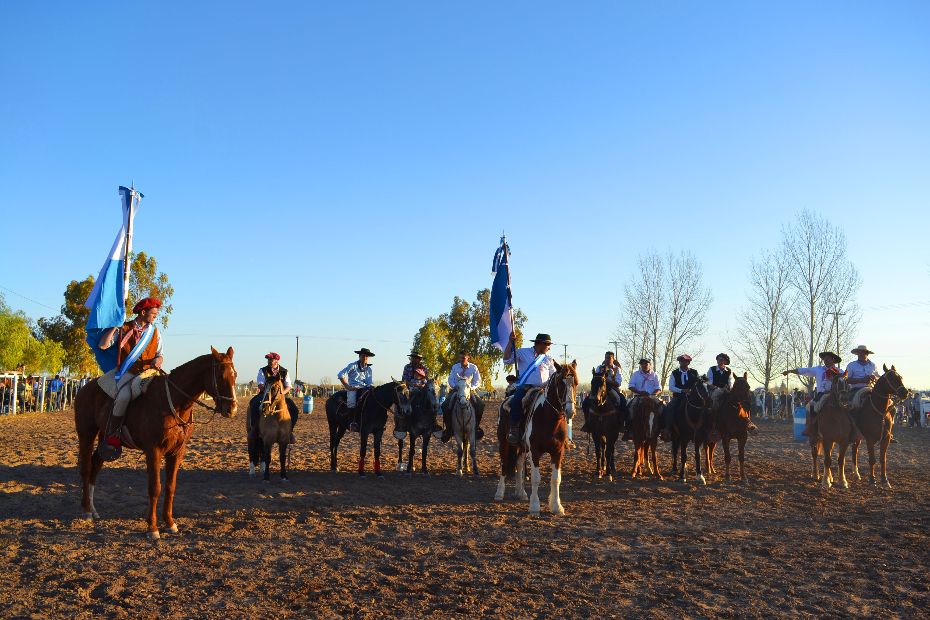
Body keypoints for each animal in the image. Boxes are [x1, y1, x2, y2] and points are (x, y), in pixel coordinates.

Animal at [74, 346, 237, 540]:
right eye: (220, 375)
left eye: (235, 375)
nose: (232, 409)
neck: (174, 401)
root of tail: (84, 389)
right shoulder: (153, 450)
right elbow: (155, 487)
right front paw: (152, 527)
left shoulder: (177, 452)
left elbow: (170, 486)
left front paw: (169, 522)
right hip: (87, 435)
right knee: (86, 468)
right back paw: (86, 510)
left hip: (104, 440)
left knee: (96, 465)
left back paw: (93, 509)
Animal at [490, 360, 576, 516]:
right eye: (561, 383)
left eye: (576, 383)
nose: (570, 411)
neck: (549, 418)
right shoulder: (535, 451)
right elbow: (536, 478)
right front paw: (535, 507)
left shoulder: (558, 452)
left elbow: (556, 479)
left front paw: (557, 506)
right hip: (504, 443)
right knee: (504, 464)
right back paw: (499, 493)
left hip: (521, 447)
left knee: (518, 464)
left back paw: (521, 492)